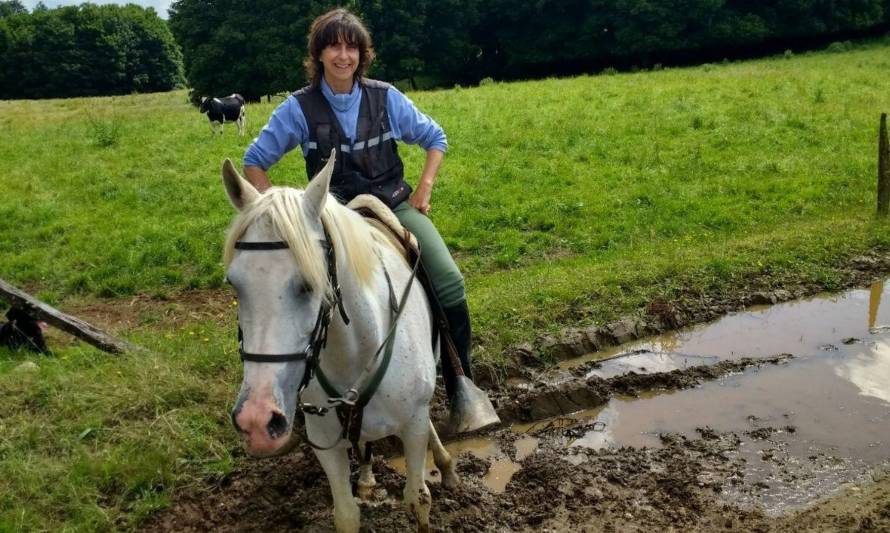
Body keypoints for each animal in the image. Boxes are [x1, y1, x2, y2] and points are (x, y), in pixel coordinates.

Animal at [222, 152, 458, 528]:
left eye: (308, 283)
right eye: (234, 283)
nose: (256, 420)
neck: (356, 353)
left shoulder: (413, 425)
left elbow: (418, 499)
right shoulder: (326, 443)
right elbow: (346, 514)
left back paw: (446, 464)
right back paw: (367, 478)